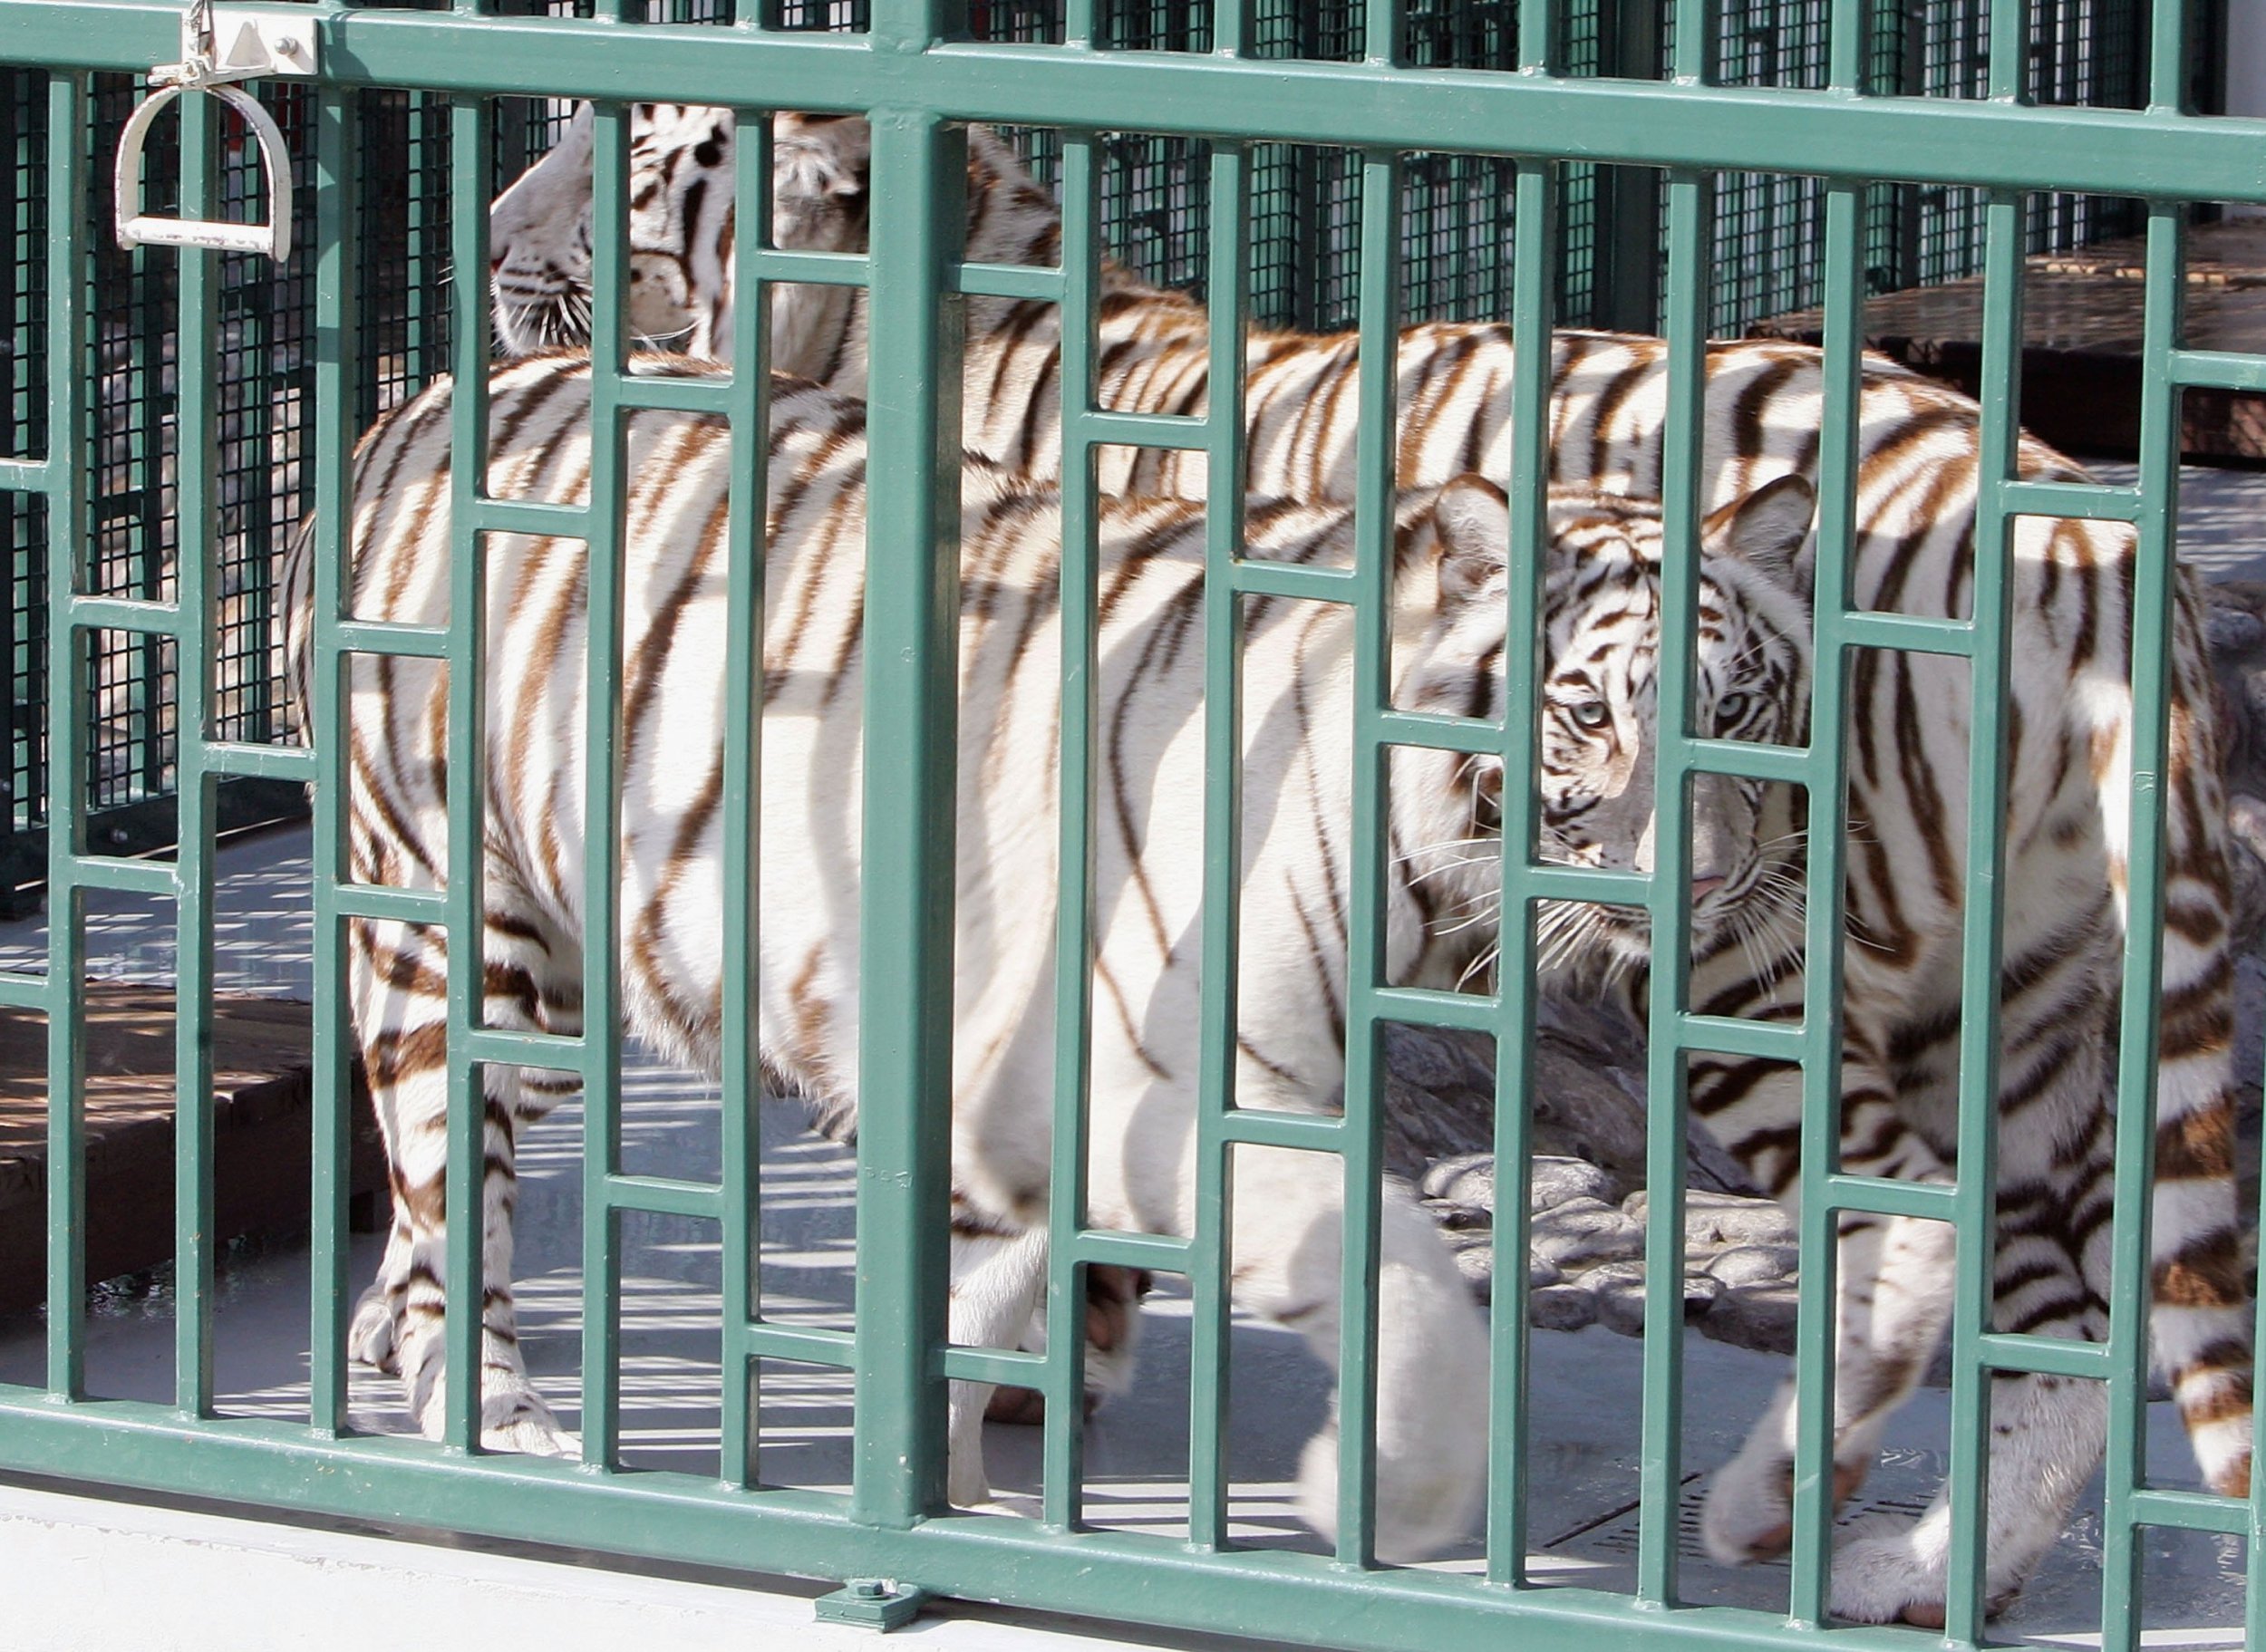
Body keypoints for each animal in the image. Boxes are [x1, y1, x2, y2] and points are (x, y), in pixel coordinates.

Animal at [278, 349, 1541, 1559]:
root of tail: (408, 410)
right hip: (464, 922)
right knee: (445, 1157)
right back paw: (490, 1413)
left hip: (568, 990)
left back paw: (388, 1327)